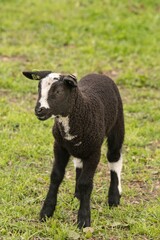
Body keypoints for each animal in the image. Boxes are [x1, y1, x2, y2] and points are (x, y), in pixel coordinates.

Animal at [22, 70, 125, 228]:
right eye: (39, 88)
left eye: (58, 91)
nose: (39, 110)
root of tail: (98, 74)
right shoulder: (59, 146)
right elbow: (56, 176)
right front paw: (46, 211)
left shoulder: (94, 152)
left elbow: (86, 183)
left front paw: (83, 219)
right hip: (79, 147)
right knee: (78, 162)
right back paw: (78, 195)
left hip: (117, 125)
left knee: (114, 158)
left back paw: (114, 197)